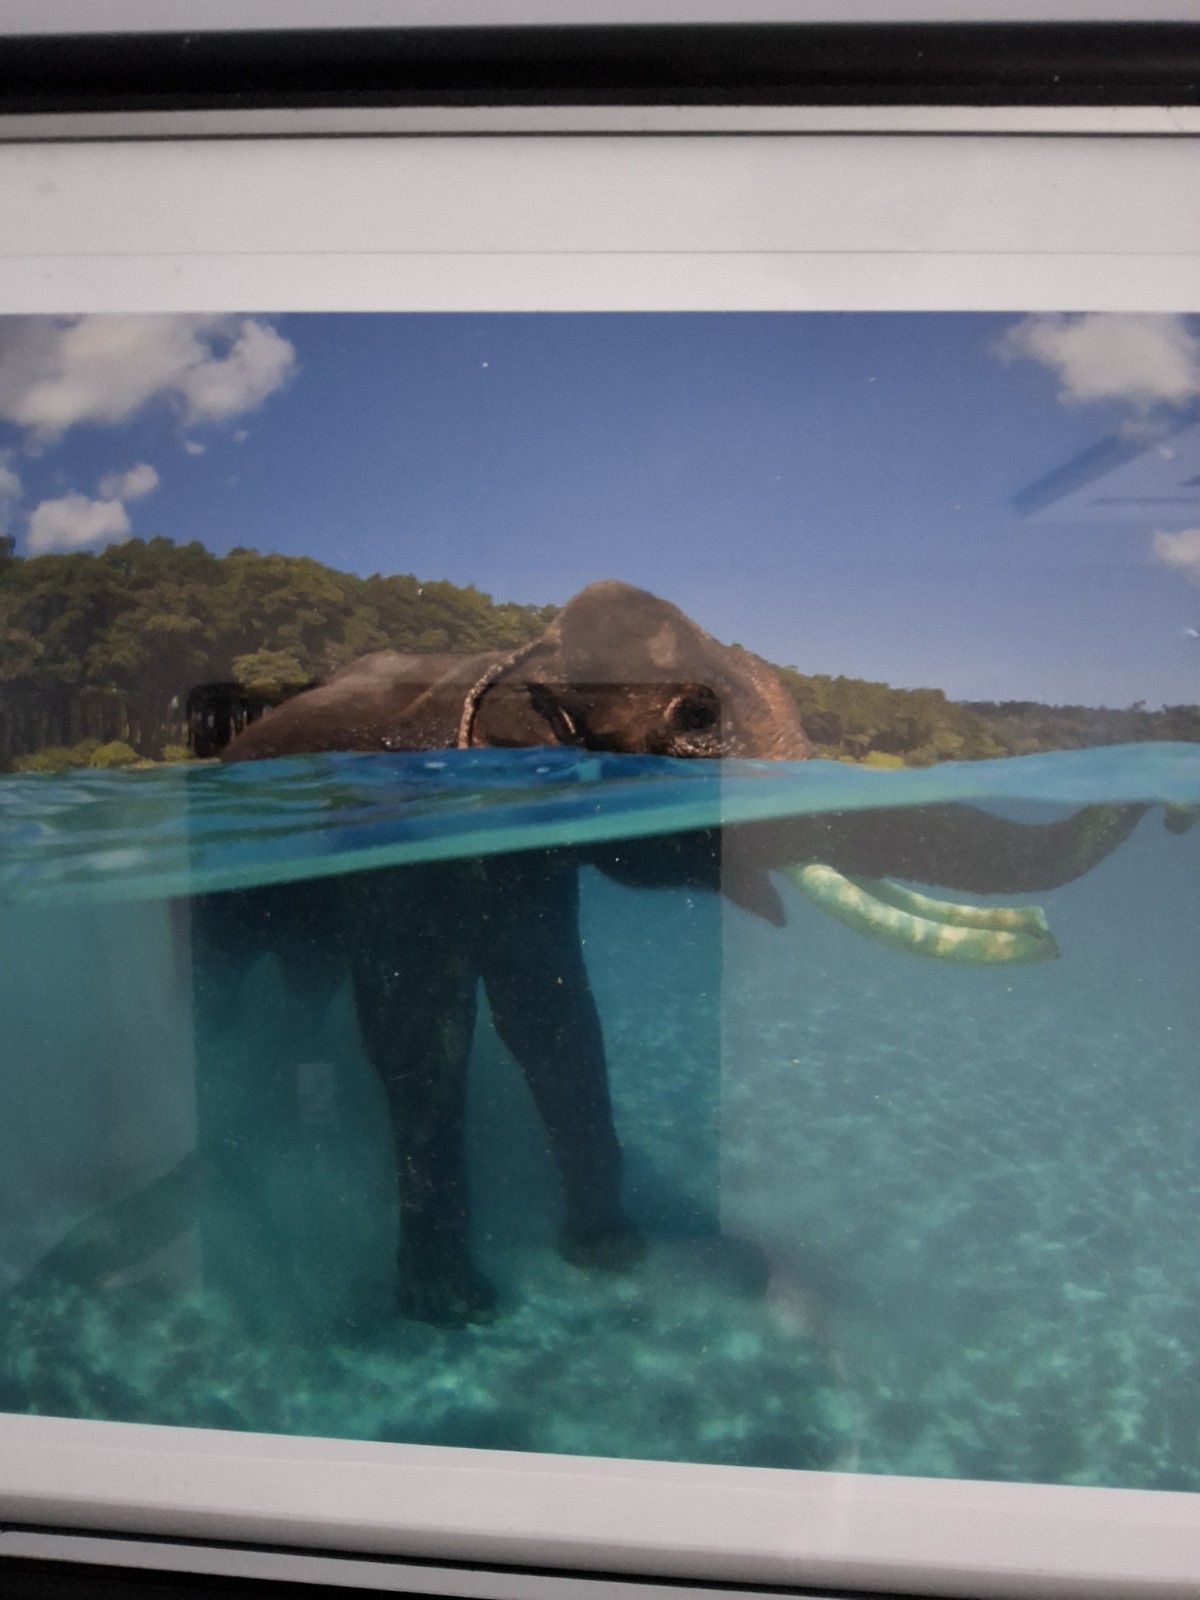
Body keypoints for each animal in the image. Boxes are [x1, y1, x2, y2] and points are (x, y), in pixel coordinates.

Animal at [193, 580, 1154, 1327]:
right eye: (693, 719)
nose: (1160, 763)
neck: (511, 658)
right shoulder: (407, 841)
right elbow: (421, 1025)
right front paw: (451, 1308)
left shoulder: (534, 873)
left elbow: (552, 1009)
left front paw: (612, 1254)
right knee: (221, 976)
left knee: (307, 980)